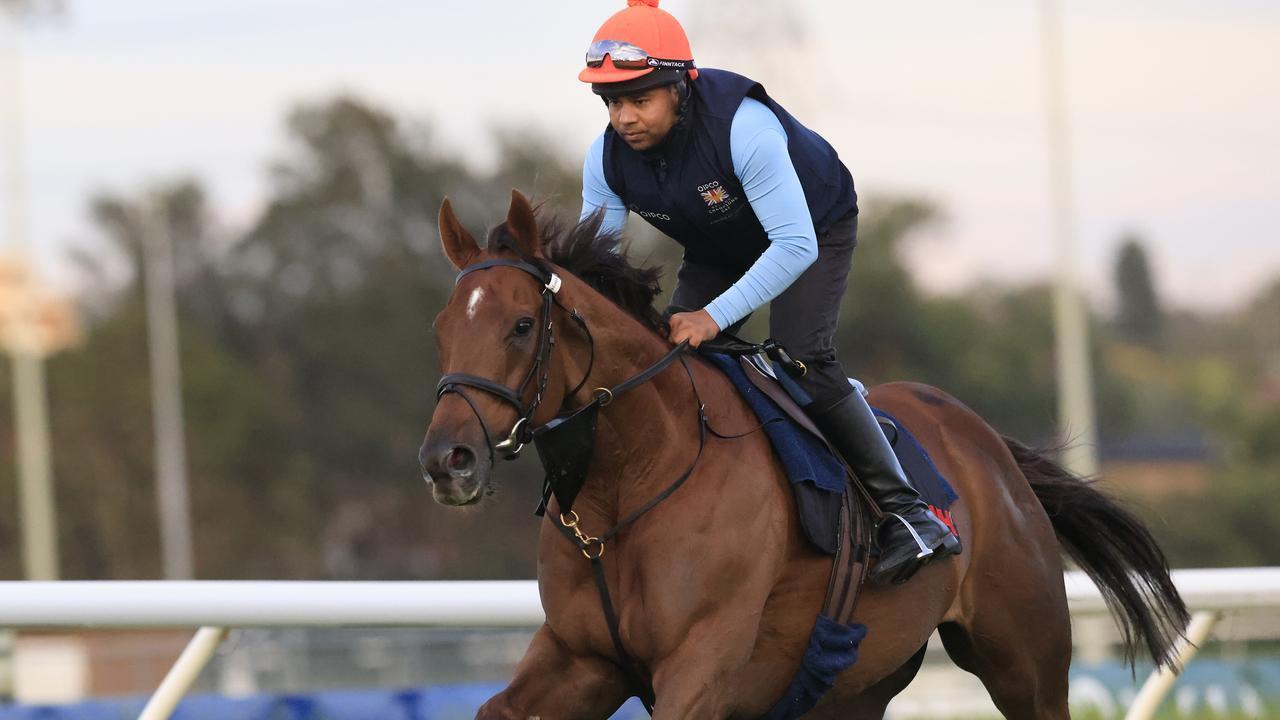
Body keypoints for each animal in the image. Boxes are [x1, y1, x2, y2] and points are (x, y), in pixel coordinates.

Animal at [419, 190, 1187, 717]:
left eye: (522, 325)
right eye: (441, 327)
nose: (446, 459)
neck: (627, 487)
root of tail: (990, 444)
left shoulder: (702, 665)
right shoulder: (580, 657)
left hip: (1025, 661)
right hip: (856, 682)